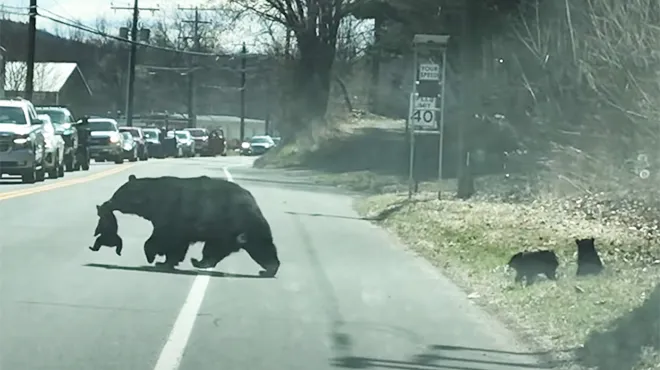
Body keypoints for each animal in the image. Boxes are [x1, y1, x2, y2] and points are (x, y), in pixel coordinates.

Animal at [99, 175, 280, 276]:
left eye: (116, 195)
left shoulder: (171, 213)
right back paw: (269, 268)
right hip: (241, 231)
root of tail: (253, 202)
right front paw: (166, 262)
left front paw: (152, 255)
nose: (106, 203)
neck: (152, 198)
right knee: (260, 247)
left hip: (231, 225)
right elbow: (177, 245)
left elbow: (164, 237)